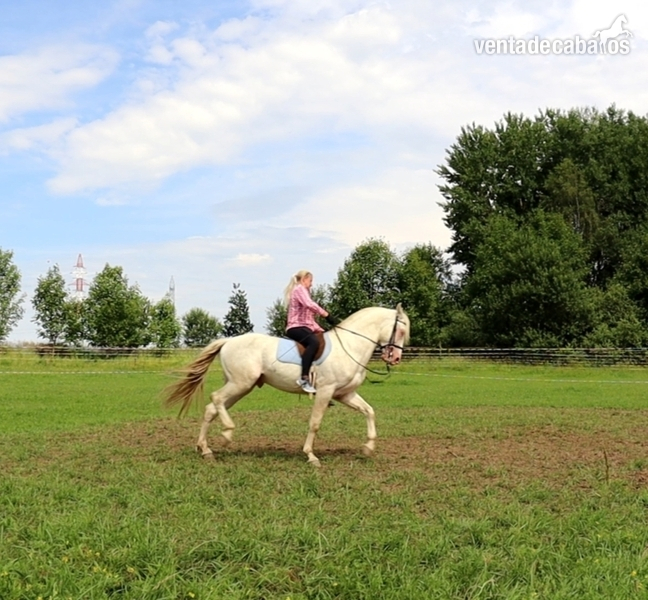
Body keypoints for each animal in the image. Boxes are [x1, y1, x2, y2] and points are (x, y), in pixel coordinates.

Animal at [164, 304, 410, 466]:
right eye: (400, 330)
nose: (396, 358)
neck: (349, 345)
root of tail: (228, 341)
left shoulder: (345, 394)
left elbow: (369, 411)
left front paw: (368, 448)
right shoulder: (326, 391)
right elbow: (315, 423)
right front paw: (311, 455)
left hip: (240, 386)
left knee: (211, 409)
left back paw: (205, 449)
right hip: (241, 384)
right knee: (215, 399)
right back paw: (226, 434)